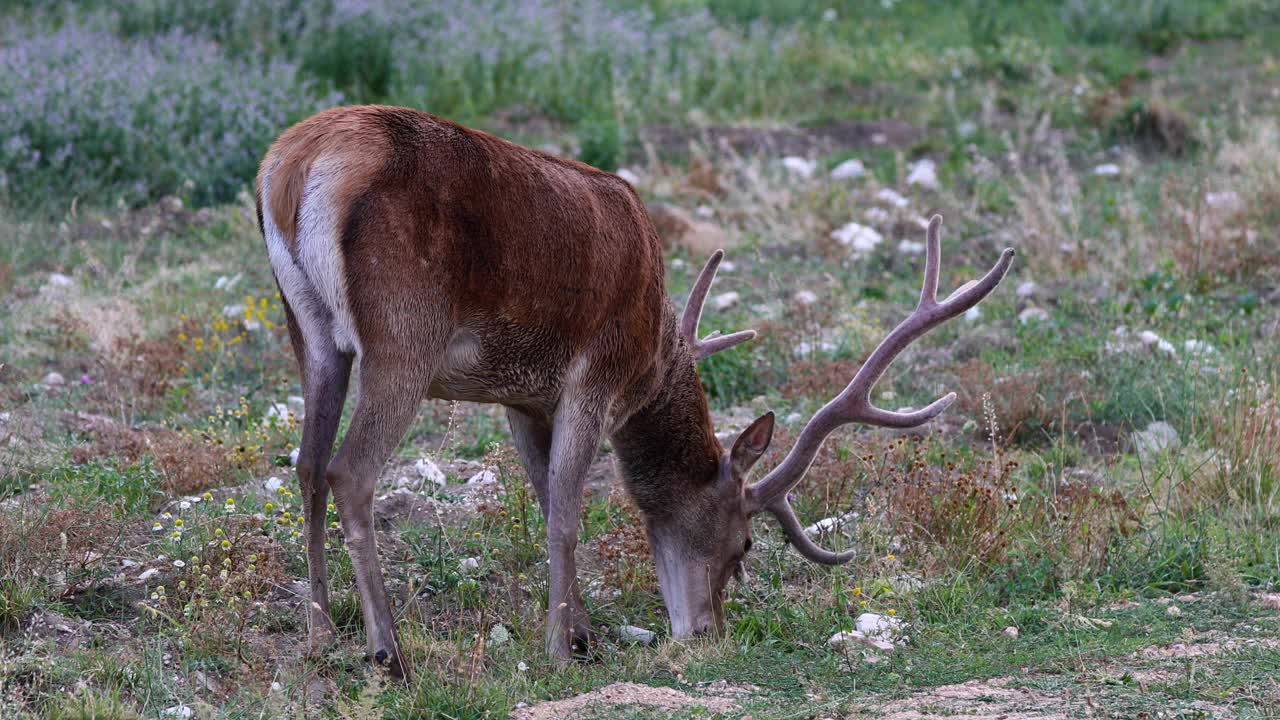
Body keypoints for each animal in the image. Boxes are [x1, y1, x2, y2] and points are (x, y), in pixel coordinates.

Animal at [254, 103, 1013, 676]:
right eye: (744, 544)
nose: (707, 631)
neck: (655, 356)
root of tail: (292, 168)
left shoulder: (522, 398)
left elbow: (542, 494)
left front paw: (583, 632)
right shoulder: (597, 374)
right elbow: (567, 509)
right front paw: (560, 650)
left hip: (310, 332)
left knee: (306, 465)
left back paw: (320, 636)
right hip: (403, 334)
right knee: (349, 471)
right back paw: (389, 653)